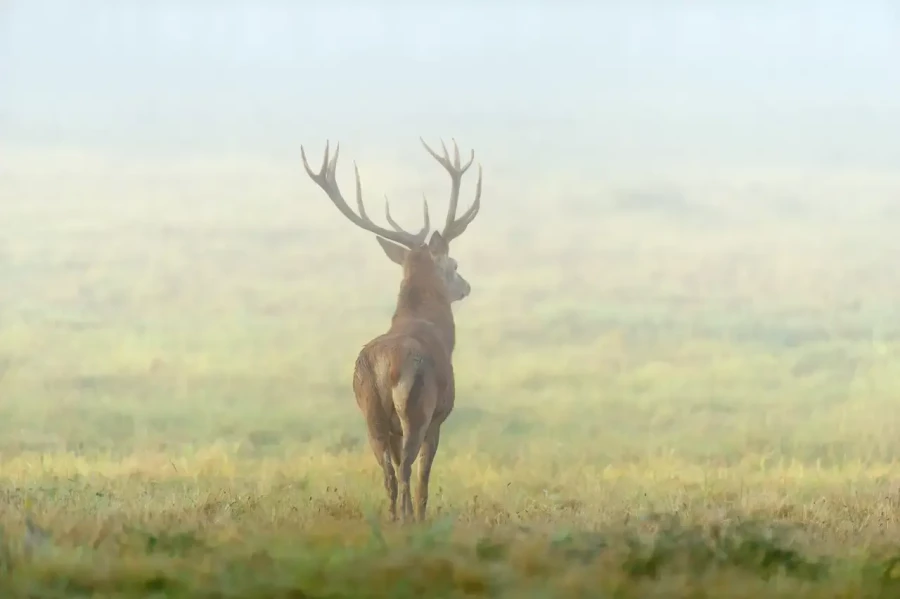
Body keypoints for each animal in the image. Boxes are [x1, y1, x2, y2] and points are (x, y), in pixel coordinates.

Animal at [300, 138, 482, 523]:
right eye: (453, 263)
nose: (466, 287)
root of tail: (385, 366)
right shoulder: (439, 416)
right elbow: (425, 474)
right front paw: (423, 517)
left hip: (370, 413)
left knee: (387, 469)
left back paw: (393, 517)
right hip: (416, 408)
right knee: (407, 468)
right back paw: (408, 519)